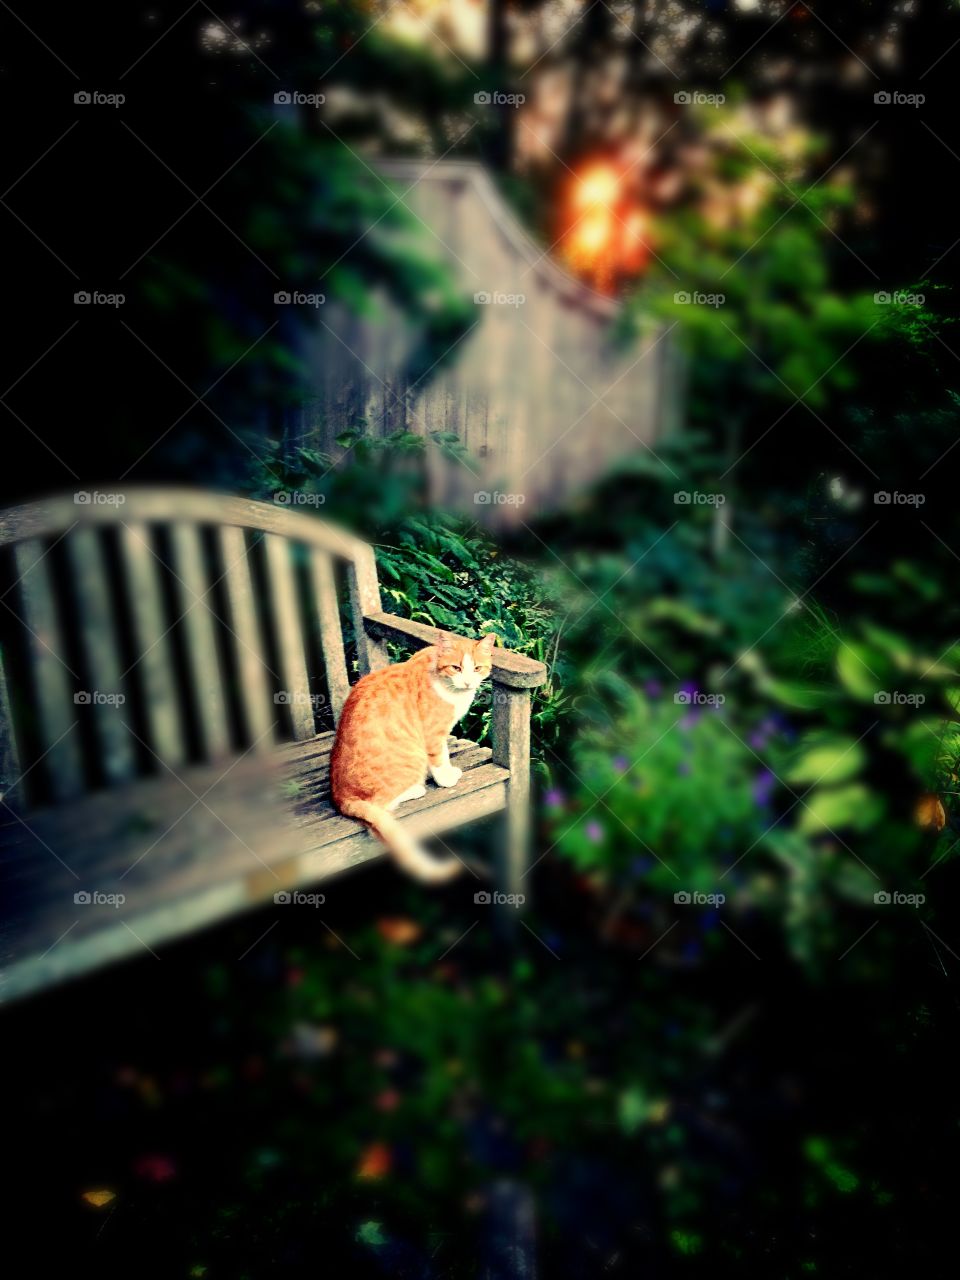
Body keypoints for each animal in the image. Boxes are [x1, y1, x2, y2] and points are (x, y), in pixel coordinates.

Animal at [330, 629, 496, 880]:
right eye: (456, 668)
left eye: (477, 668)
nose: (468, 682)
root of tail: (340, 797)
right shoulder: (433, 734)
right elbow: (440, 758)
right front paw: (446, 778)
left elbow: (444, 755)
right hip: (412, 757)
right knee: (383, 803)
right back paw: (416, 789)